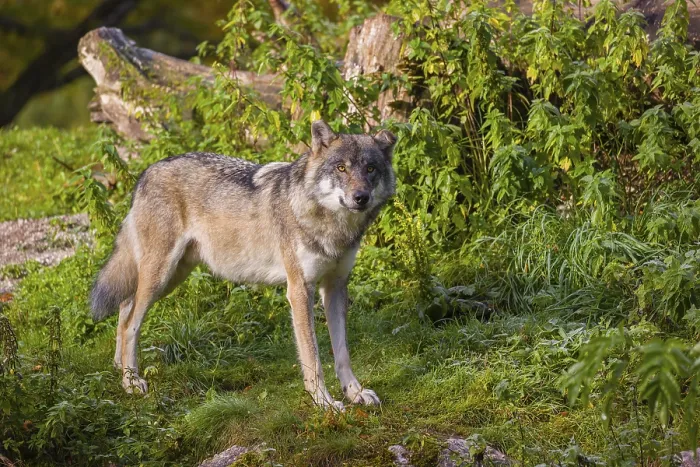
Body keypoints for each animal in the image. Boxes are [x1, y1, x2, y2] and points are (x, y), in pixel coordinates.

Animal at [90, 120, 397, 410]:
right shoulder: (300, 290)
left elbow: (342, 352)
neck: (332, 226)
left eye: (370, 168)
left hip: (171, 277)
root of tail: (147, 172)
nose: (361, 197)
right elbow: (313, 358)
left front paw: (355, 392)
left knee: (125, 306)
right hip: (160, 276)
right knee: (131, 323)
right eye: (341, 168)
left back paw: (120, 368)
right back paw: (131, 382)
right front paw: (324, 402)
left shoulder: (335, 287)